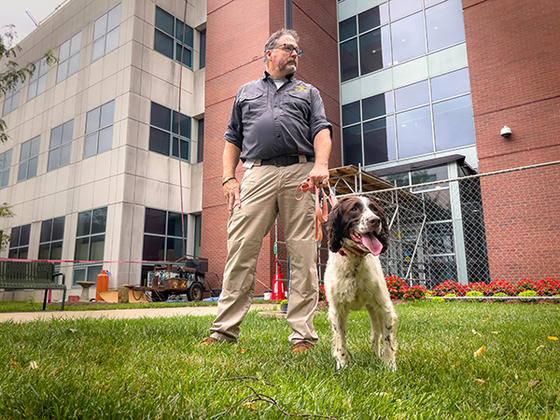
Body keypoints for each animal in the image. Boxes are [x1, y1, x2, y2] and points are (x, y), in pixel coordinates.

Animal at [322, 197, 396, 370]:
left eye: (374, 209)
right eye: (354, 209)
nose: (375, 221)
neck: (354, 261)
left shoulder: (384, 307)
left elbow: (387, 340)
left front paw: (390, 366)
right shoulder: (337, 310)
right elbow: (340, 340)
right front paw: (342, 365)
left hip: (374, 311)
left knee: (376, 335)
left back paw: (377, 355)